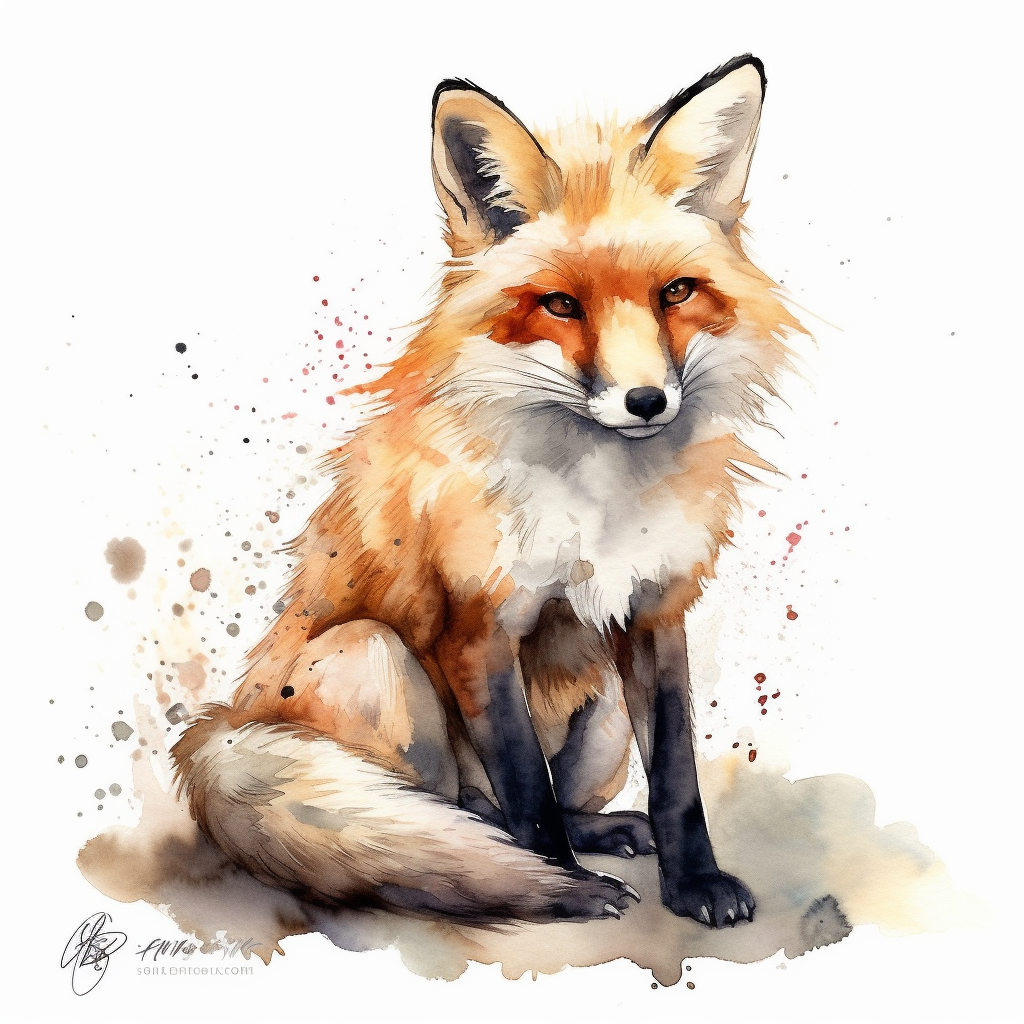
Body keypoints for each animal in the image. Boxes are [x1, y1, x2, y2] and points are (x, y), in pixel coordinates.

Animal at [171, 54, 803, 927]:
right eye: (560, 305)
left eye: (675, 293)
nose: (647, 402)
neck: (600, 501)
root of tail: (227, 723)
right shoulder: (478, 627)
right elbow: (526, 792)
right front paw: (559, 885)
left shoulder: (654, 612)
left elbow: (677, 777)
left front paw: (696, 884)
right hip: (369, 656)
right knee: (457, 816)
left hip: (605, 704)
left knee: (545, 802)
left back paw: (604, 831)